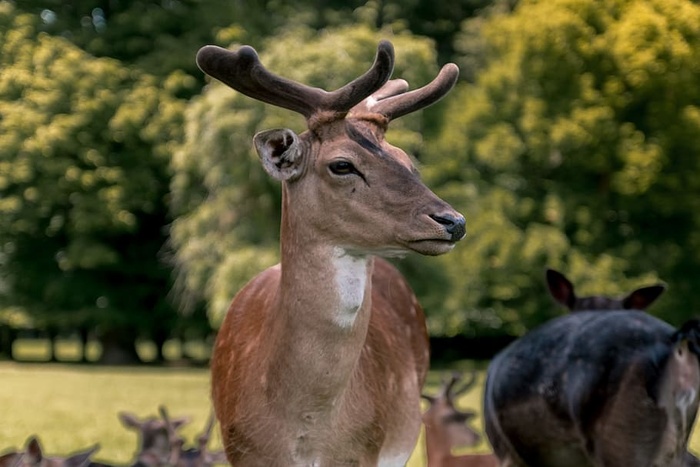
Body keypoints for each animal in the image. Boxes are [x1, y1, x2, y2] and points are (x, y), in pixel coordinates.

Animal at [194, 38, 464, 466]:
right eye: (342, 165)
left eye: (407, 161)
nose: (453, 221)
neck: (306, 429)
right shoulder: (241, 450)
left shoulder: (366, 450)